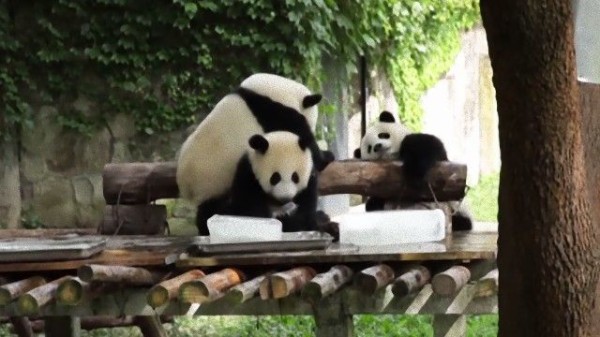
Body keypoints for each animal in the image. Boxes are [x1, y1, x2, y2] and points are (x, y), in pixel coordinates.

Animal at [176, 72, 336, 235]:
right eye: (313, 121)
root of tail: (187, 188)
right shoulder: (278, 115)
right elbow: (302, 138)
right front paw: (327, 156)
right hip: (215, 183)